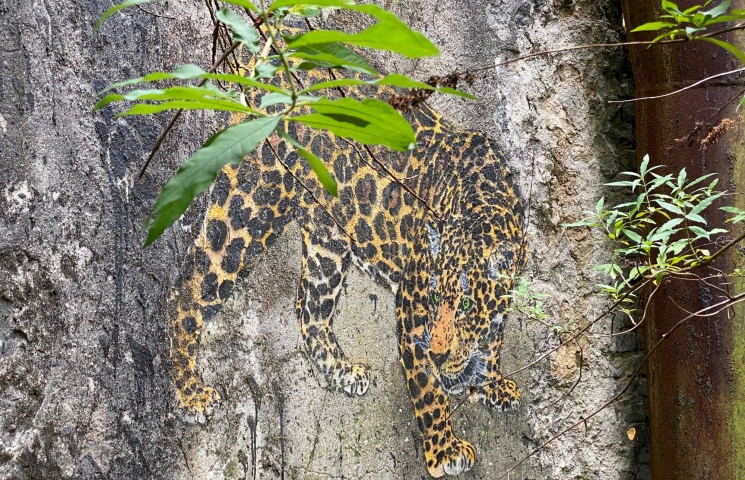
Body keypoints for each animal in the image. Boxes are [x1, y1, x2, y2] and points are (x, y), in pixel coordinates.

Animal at [168, 63, 525, 477]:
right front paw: (444, 451)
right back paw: (190, 395)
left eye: (466, 305)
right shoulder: (411, 309)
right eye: (435, 297)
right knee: (188, 289)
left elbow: (492, 342)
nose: (439, 354)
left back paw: (341, 372)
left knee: (309, 310)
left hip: (328, 238)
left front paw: (490, 383)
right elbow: (428, 391)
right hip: (251, 208)